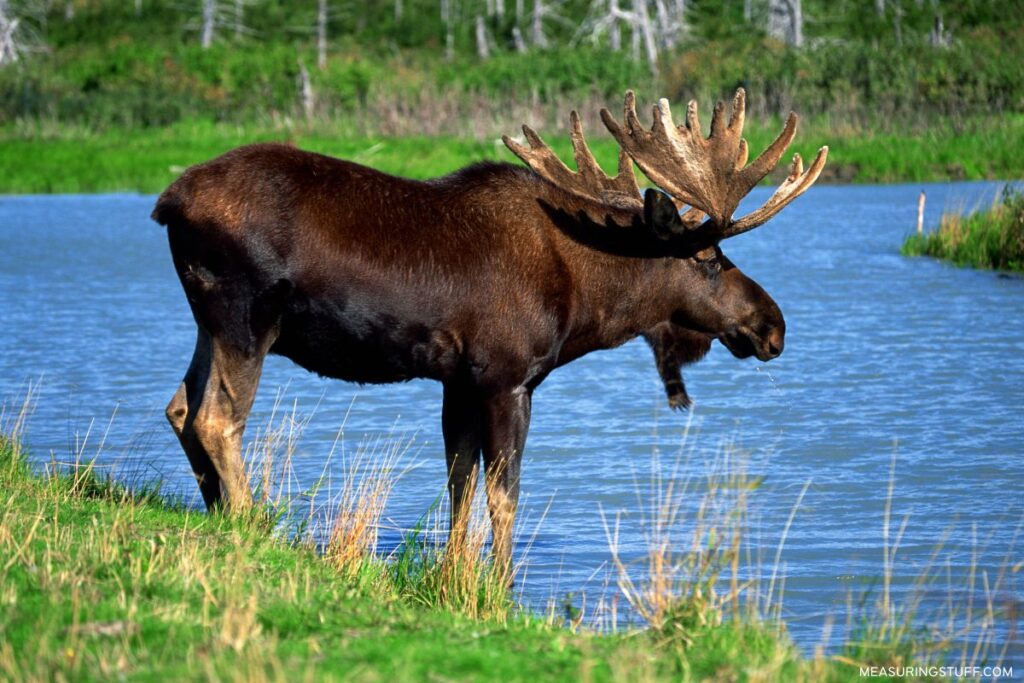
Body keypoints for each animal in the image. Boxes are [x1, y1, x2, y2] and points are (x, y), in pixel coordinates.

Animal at [152, 88, 827, 580]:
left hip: (208, 320)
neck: (588, 298)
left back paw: (218, 516)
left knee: (180, 405)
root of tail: (167, 202)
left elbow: (460, 485)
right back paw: (249, 525)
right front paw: (500, 586)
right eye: (709, 257)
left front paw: (453, 578)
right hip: (247, 315)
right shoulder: (508, 378)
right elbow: (505, 494)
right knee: (217, 417)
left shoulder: (458, 381)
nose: (773, 326)